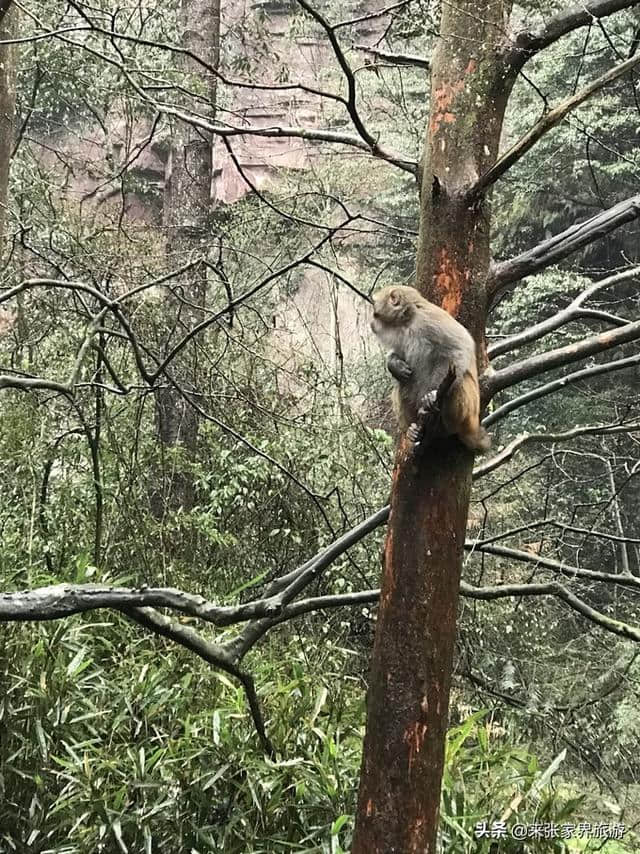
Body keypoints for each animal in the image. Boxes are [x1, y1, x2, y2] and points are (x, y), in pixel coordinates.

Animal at [370, 286, 490, 454]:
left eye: (375, 310)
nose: (371, 323)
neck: (408, 321)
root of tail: (472, 426)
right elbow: (399, 355)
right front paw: (394, 365)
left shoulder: (430, 320)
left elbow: (459, 348)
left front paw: (432, 396)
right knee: (401, 385)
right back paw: (415, 431)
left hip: (468, 412)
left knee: (458, 382)